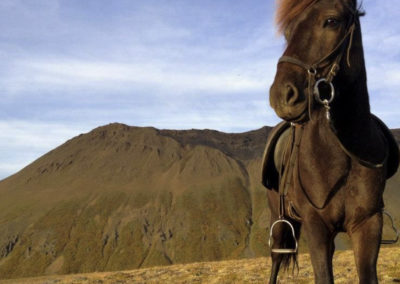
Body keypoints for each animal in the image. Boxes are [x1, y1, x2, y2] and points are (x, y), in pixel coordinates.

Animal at [260, 0, 398, 284]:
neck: (344, 152)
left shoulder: (369, 225)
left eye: (331, 21)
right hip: (278, 219)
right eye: (287, 32)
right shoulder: (317, 226)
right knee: (276, 260)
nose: (282, 95)